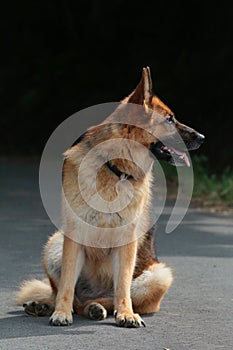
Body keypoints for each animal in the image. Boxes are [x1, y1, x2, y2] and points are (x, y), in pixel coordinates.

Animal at [17, 66, 205, 328]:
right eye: (169, 120)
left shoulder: (127, 243)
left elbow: (123, 287)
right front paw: (61, 312)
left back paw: (98, 308)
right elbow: (66, 285)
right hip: (54, 244)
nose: (202, 137)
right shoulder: (74, 237)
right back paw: (50, 306)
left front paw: (126, 314)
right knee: (67, 295)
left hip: (159, 275)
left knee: (106, 298)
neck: (116, 169)